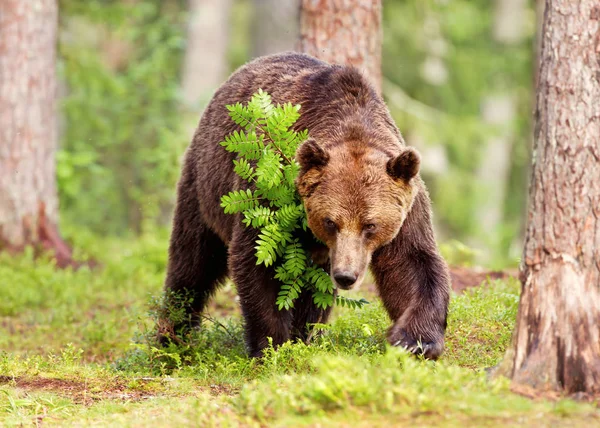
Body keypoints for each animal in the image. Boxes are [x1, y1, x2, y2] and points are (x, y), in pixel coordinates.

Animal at [162, 52, 452, 362]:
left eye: (370, 225)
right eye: (330, 222)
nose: (346, 276)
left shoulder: (408, 207)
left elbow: (412, 264)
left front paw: (416, 341)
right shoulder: (269, 191)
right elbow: (258, 259)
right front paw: (272, 344)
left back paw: (306, 334)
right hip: (206, 184)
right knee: (192, 261)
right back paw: (172, 336)